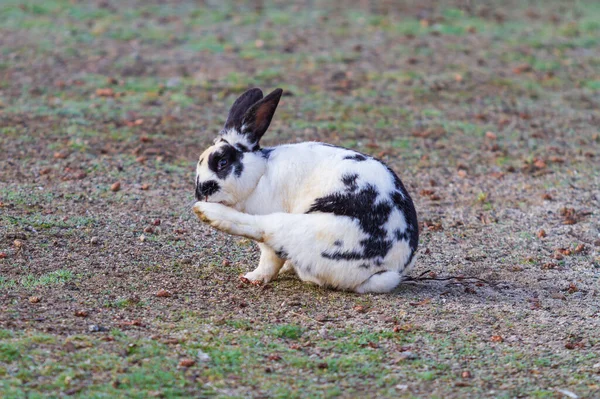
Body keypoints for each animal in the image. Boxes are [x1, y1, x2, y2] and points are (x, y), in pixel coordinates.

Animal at [192, 87, 418, 294]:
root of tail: (382, 271)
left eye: (222, 162)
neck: (259, 174)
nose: (201, 192)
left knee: (263, 228)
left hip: (301, 227)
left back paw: (207, 213)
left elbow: (270, 259)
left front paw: (255, 277)